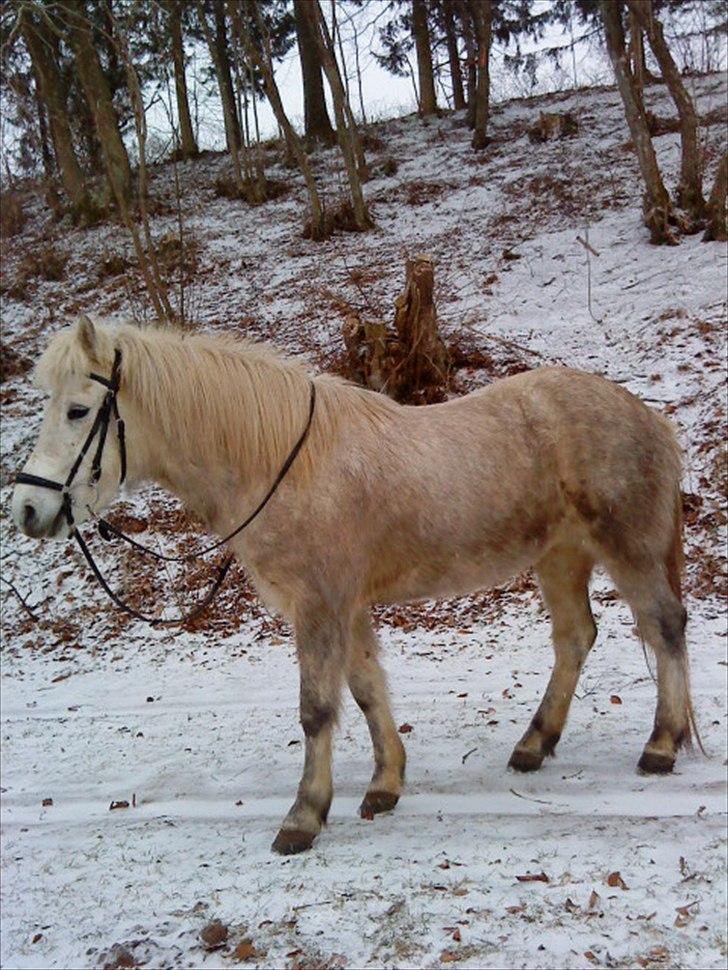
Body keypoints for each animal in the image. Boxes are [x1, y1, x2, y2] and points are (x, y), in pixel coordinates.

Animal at [8, 314, 696, 852]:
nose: (27, 510)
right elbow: (366, 689)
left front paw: (304, 815)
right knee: (575, 638)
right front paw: (385, 783)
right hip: (560, 556)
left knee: (664, 628)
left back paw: (661, 745)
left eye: (77, 409)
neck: (282, 463)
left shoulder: (319, 605)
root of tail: (646, 417)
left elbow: (316, 710)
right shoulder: (347, 606)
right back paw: (534, 743)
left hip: (628, 550)